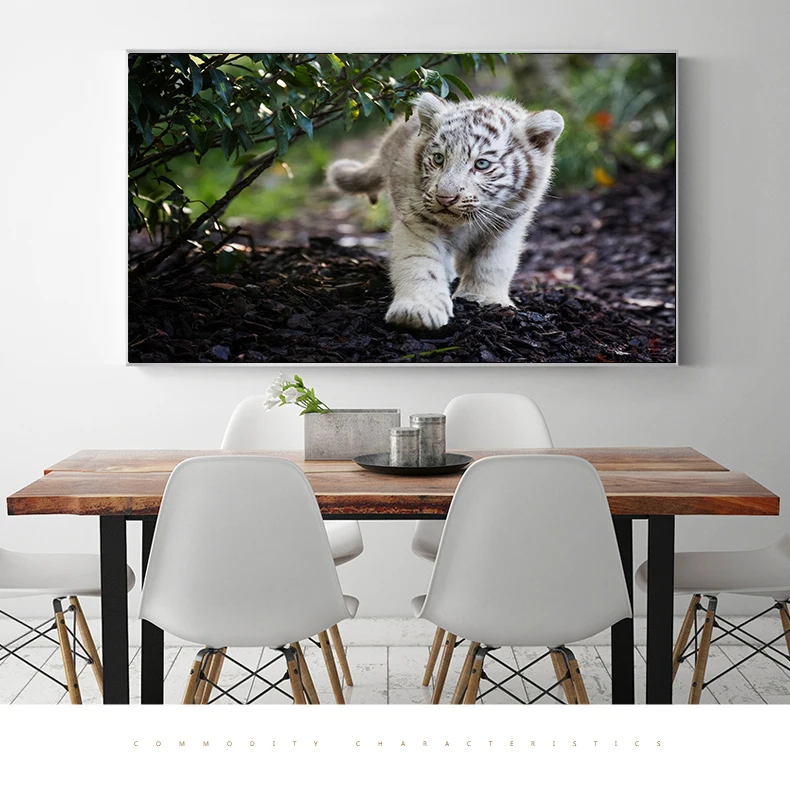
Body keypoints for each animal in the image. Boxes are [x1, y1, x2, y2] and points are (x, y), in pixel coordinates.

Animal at [326, 92, 564, 330]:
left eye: (482, 164)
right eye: (438, 158)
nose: (445, 198)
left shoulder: (507, 222)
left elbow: (493, 262)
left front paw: (482, 298)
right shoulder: (417, 218)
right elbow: (420, 261)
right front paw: (418, 310)